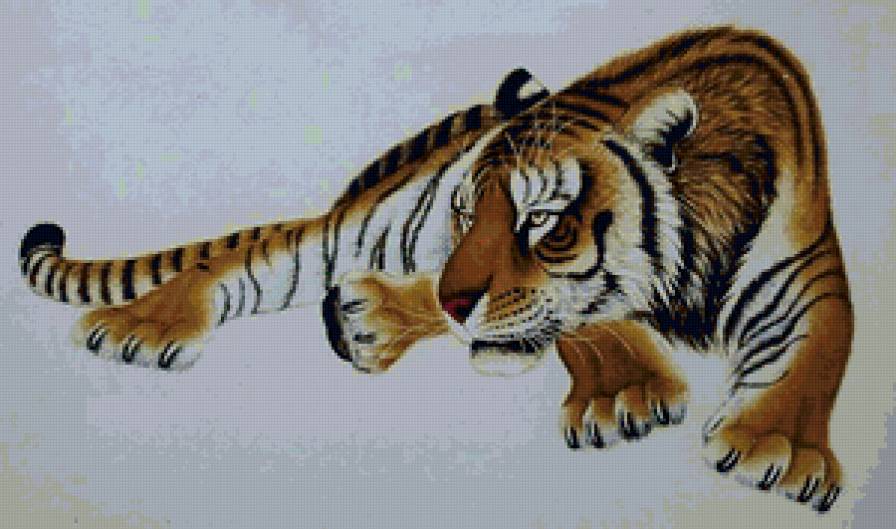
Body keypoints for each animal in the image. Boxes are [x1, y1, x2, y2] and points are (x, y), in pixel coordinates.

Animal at [19, 26, 850, 512]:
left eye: (541, 220)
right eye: (465, 212)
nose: (457, 303)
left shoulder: (810, 273)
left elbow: (821, 353)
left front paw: (775, 447)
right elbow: (591, 321)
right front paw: (630, 396)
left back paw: (370, 319)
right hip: (351, 233)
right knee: (246, 261)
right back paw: (145, 324)